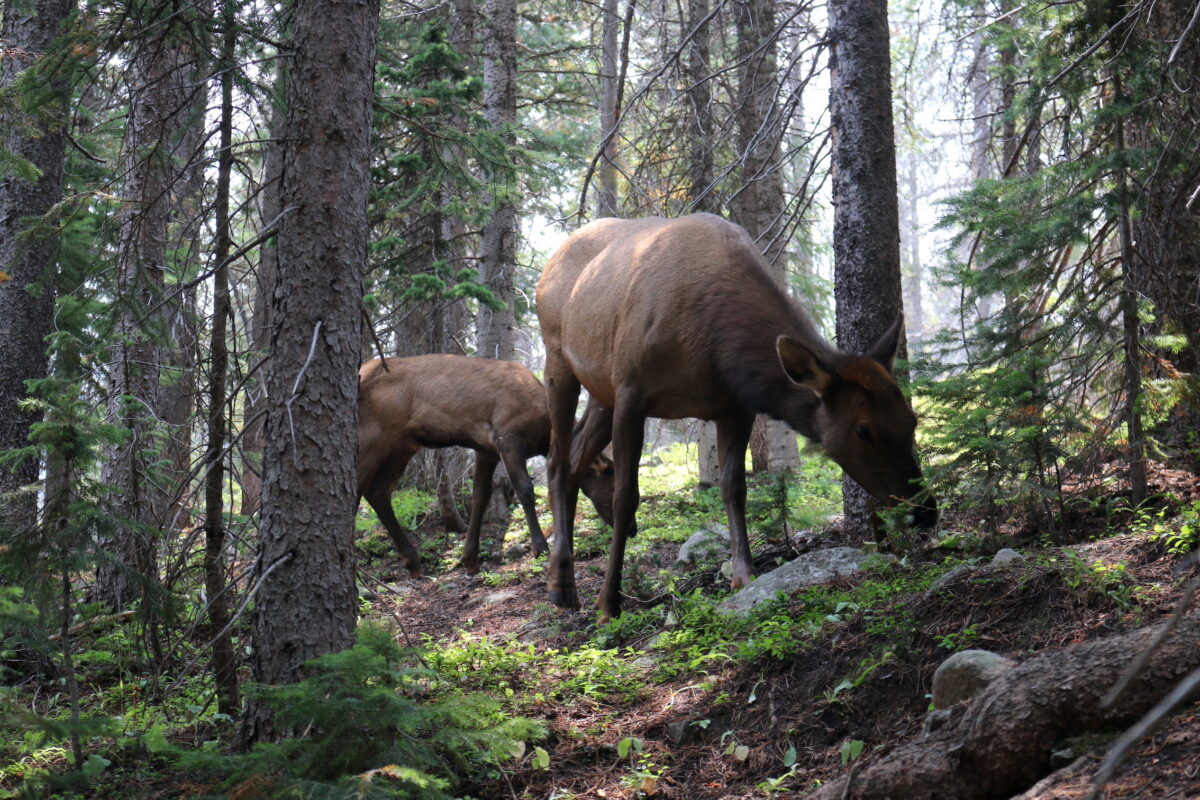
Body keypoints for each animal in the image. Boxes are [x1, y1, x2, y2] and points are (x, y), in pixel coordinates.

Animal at [356, 354, 616, 577]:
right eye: (613, 481)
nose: (622, 526)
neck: (544, 434)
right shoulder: (508, 436)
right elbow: (525, 489)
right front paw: (540, 547)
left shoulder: (486, 449)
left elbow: (481, 496)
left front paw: (470, 559)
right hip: (374, 437)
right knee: (358, 487)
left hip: (402, 445)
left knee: (377, 491)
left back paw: (413, 561)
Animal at [536, 213, 938, 621]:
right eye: (863, 430)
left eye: (912, 420)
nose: (925, 511)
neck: (715, 349)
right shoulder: (632, 392)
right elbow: (626, 497)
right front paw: (608, 603)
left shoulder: (735, 407)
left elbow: (735, 487)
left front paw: (744, 575)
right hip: (559, 359)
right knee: (556, 459)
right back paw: (560, 584)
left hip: (602, 393)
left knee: (577, 457)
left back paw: (564, 578)